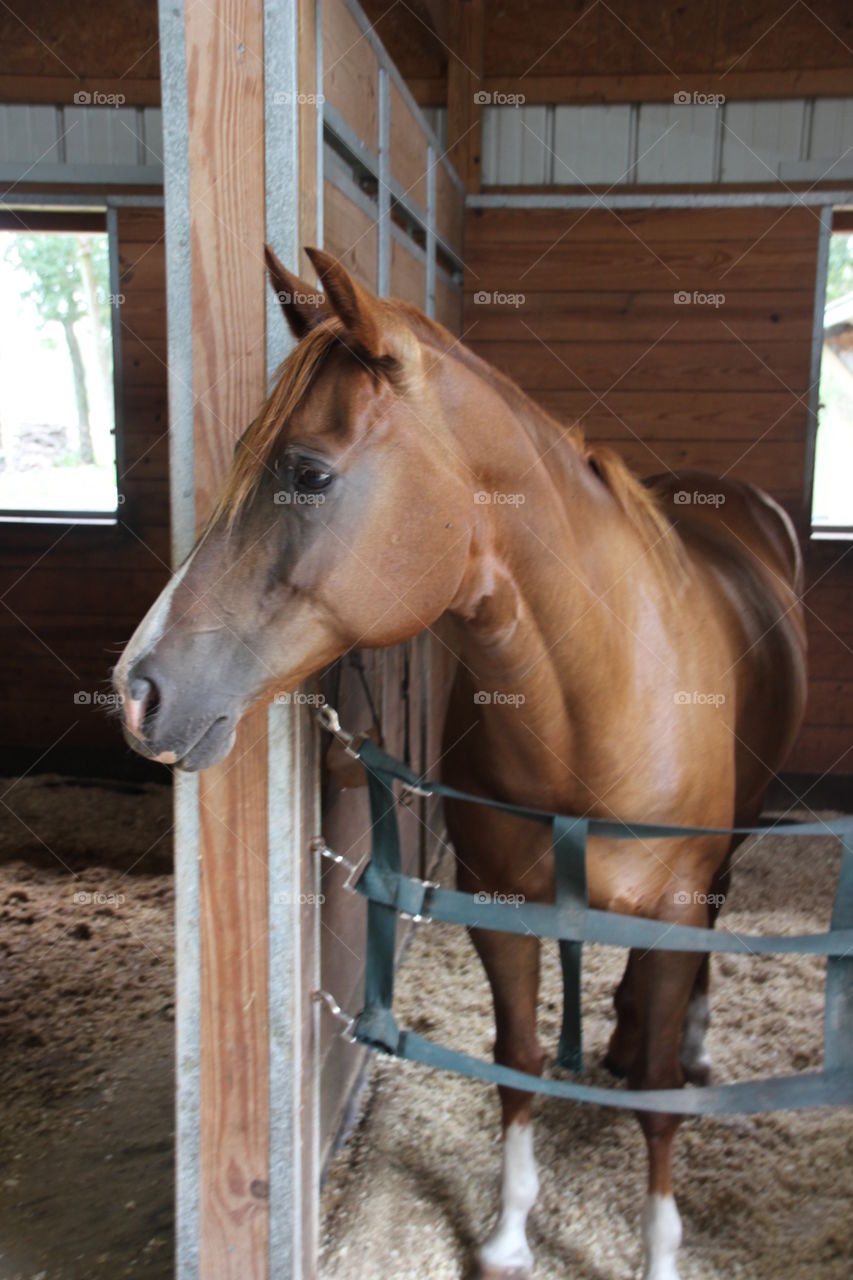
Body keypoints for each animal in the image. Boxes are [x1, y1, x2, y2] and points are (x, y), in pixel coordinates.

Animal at [113, 245, 807, 1280]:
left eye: (308, 472)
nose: (137, 691)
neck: (602, 695)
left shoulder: (676, 906)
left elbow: (652, 1098)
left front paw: (658, 1250)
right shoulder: (499, 902)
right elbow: (514, 1062)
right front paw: (511, 1232)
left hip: (725, 855)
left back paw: (685, 1043)